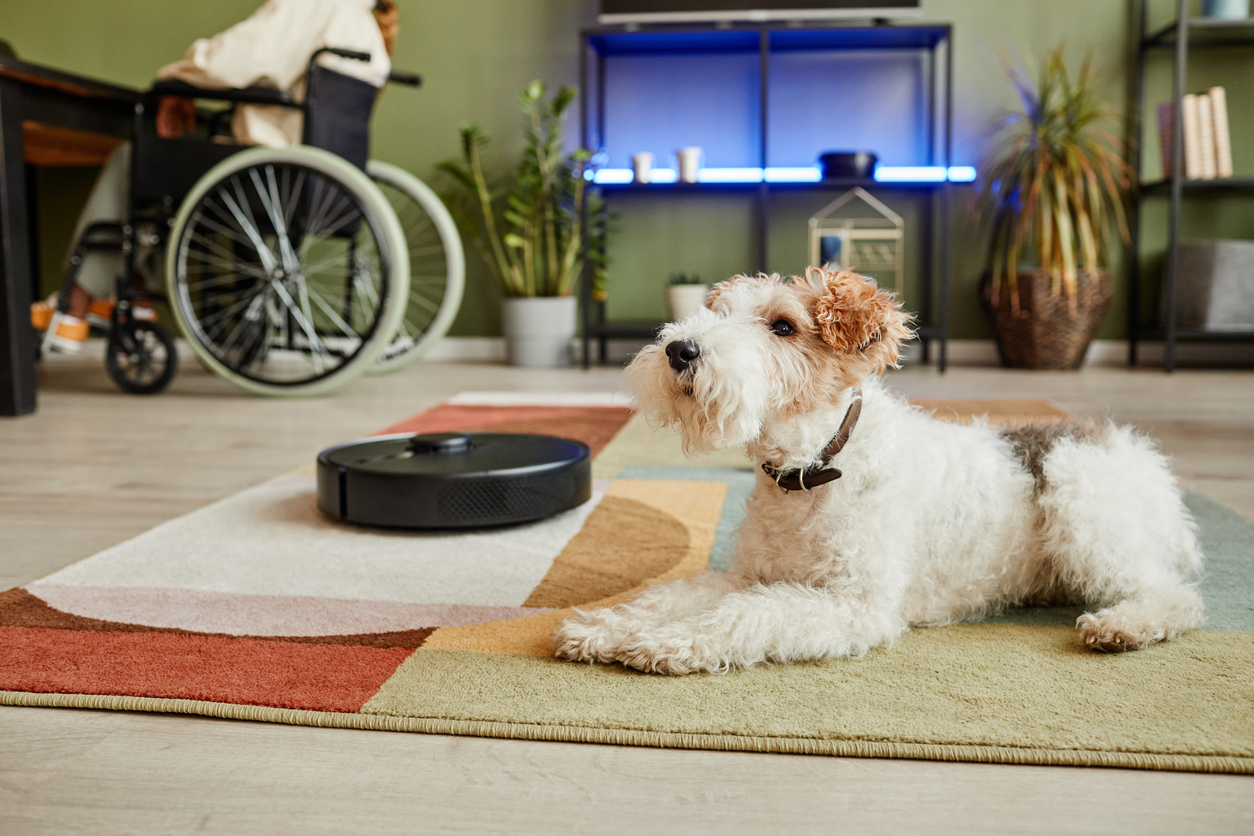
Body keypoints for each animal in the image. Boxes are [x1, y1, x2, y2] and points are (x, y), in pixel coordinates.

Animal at [551, 271, 1203, 676]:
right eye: (718, 313)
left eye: (783, 325)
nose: (679, 350)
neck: (816, 465)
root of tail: (1139, 451)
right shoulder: (750, 574)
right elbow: (671, 596)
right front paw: (601, 628)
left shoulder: (857, 603)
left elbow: (745, 613)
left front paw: (662, 643)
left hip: (1083, 511)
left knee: (1174, 596)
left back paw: (1120, 627)